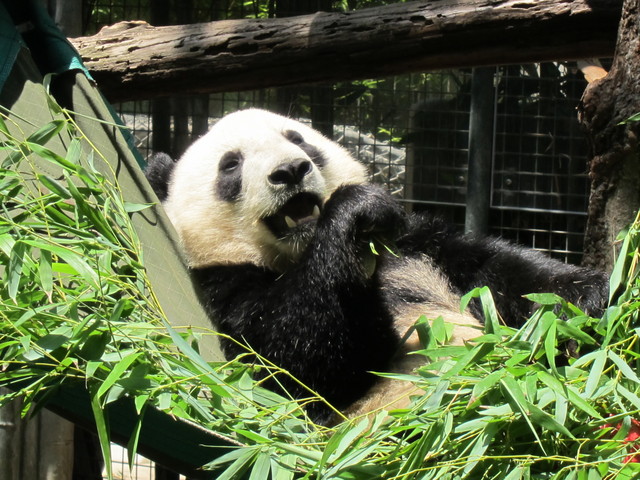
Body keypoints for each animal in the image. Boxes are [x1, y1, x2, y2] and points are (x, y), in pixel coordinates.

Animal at [146, 108, 608, 424]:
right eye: (231, 165)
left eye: (299, 139)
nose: (291, 170)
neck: (300, 251)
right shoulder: (224, 289)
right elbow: (295, 366)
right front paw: (354, 214)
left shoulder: (416, 244)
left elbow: (493, 272)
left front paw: (586, 296)